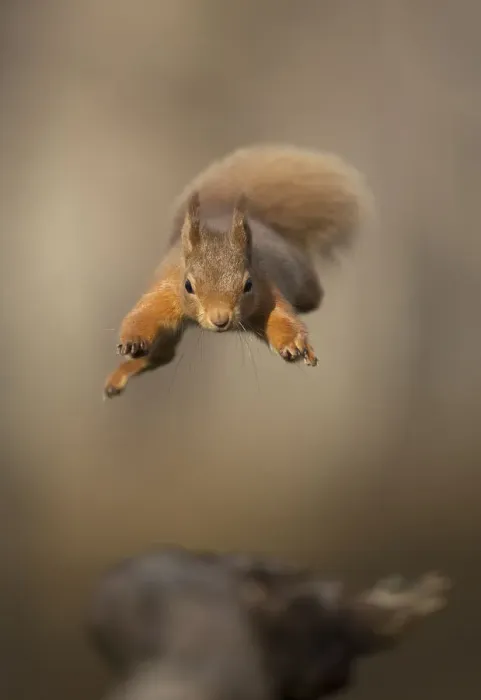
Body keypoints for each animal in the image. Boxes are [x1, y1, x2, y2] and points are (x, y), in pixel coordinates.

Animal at [104, 144, 372, 398]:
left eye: (248, 285)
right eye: (188, 285)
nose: (220, 319)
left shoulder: (267, 291)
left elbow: (283, 319)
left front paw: (293, 344)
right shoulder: (167, 290)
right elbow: (143, 315)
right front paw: (133, 341)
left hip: (302, 282)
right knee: (163, 353)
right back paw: (120, 376)